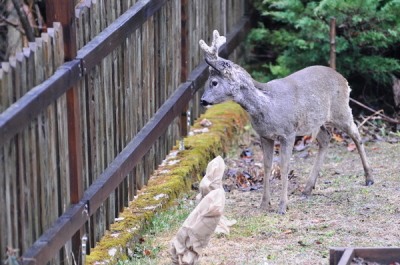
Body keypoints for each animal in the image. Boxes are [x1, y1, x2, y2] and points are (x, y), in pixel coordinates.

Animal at [200, 31, 376, 213]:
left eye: (214, 82)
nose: (202, 100)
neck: (268, 105)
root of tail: (344, 79)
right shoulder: (265, 135)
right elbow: (267, 166)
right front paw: (264, 204)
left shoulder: (288, 133)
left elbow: (284, 166)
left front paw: (283, 206)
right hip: (315, 121)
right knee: (326, 137)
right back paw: (307, 189)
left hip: (340, 109)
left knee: (356, 134)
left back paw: (369, 178)